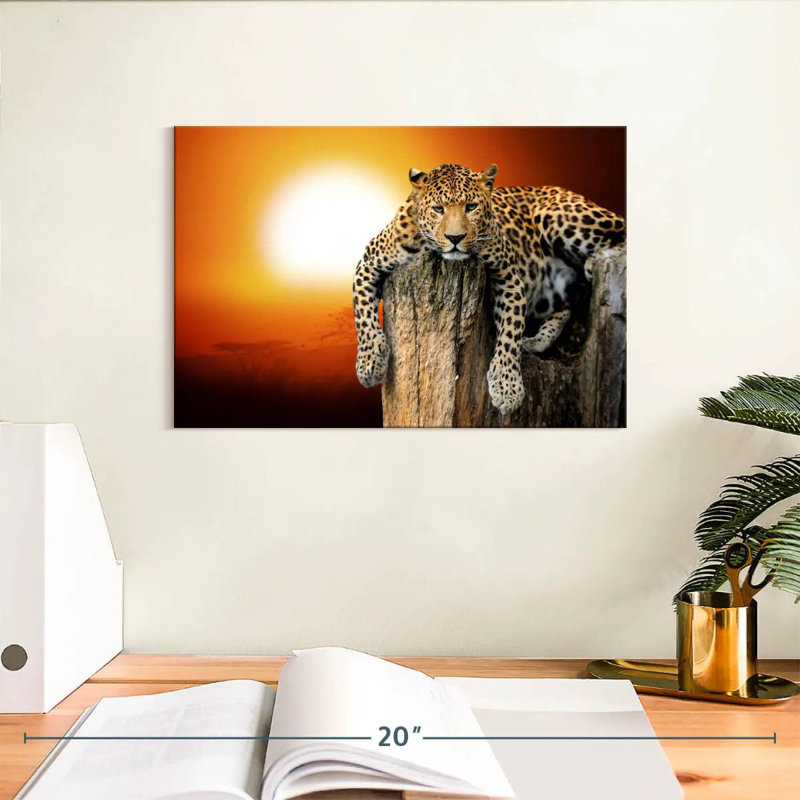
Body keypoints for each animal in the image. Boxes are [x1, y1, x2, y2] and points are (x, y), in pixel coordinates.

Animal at [352, 163, 625, 416]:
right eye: (438, 209)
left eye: (471, 207)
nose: (455, 238)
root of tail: (556, 188)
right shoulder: (368, 263)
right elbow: (363, 315)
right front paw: (369, 363)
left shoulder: (508, 274)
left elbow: (510, 331)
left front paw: (507, 387)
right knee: (566, 306)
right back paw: (536, 340)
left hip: (559, 215)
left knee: (621, 234)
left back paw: (596, 261)